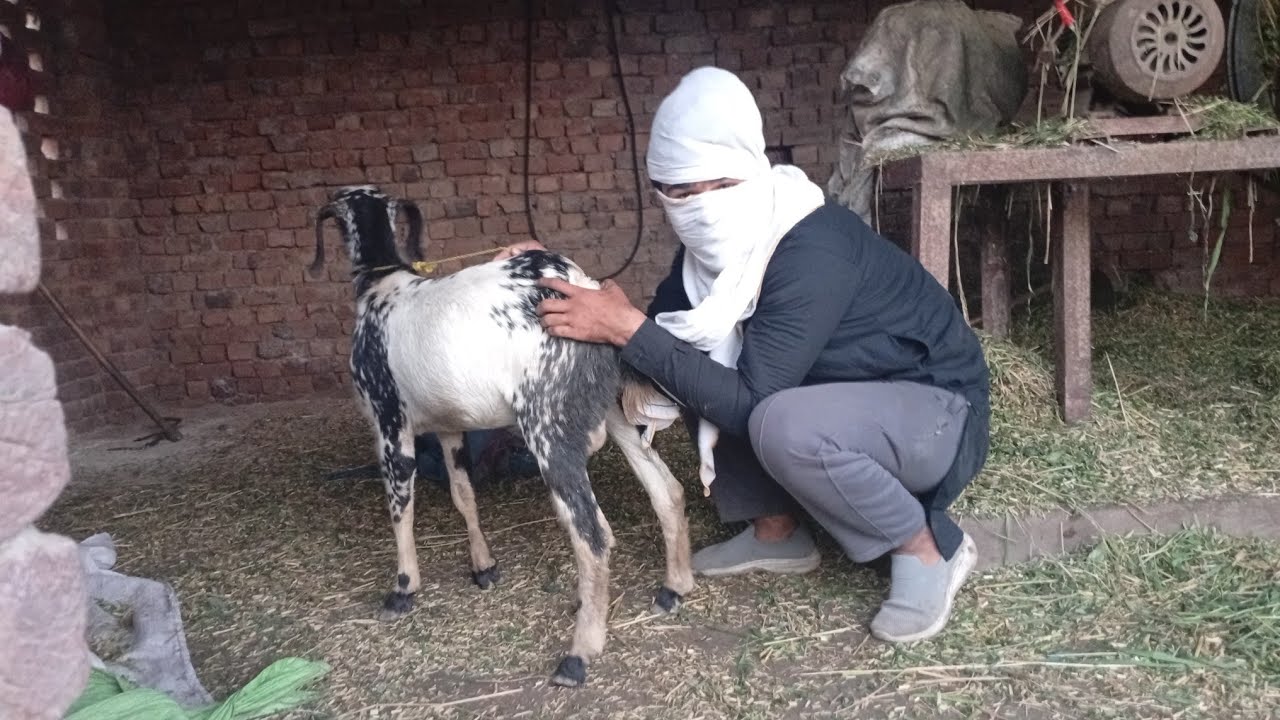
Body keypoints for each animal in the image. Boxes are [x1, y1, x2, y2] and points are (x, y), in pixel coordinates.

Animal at [310, 185, 696, 687]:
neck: (383, 287)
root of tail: (581, 282)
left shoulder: (389, 421)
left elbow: (400, 508)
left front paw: (403, 589)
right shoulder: (449, 426)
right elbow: (463, 494)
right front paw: (484, 567)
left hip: (547, 425)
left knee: (593, 535)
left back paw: (579, 654)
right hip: (607, 409)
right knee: (666, 489)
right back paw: (675, 587)